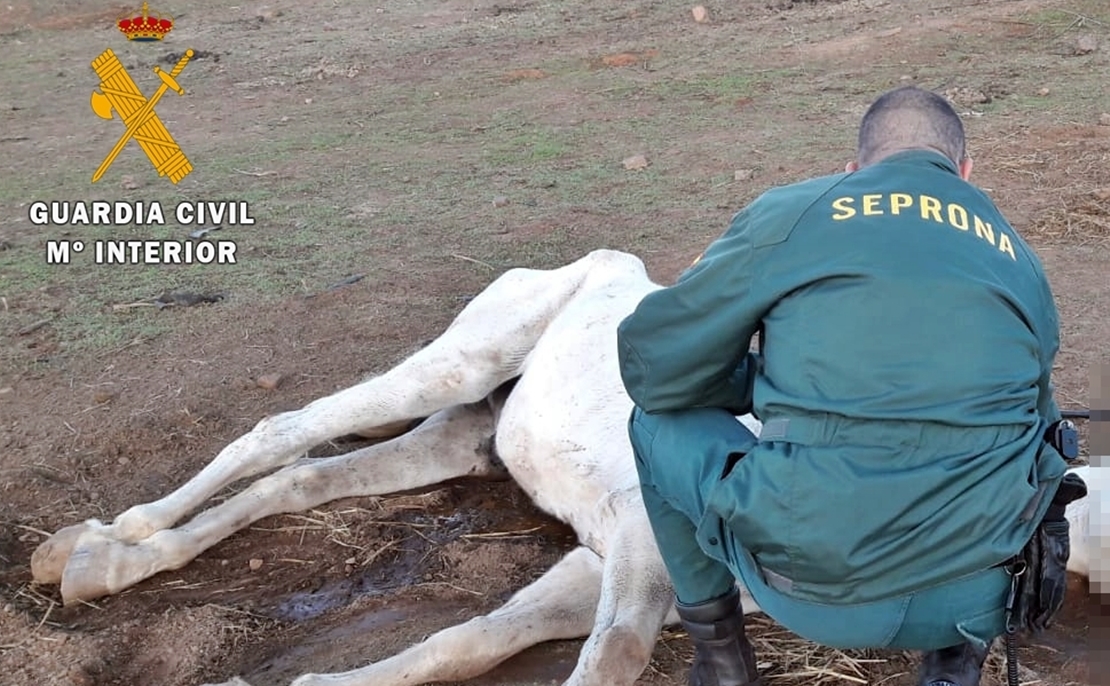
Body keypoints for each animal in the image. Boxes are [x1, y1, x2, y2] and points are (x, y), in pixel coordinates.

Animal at [30, 247, 1087, 683]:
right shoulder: (641, 540)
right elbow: (607, 660)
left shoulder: (612, 558)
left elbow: (472, 642)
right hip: (463, 360)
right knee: (283, 430)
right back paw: (106, 541)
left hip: (468, 435)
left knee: (306, 479)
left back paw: (93, 558)